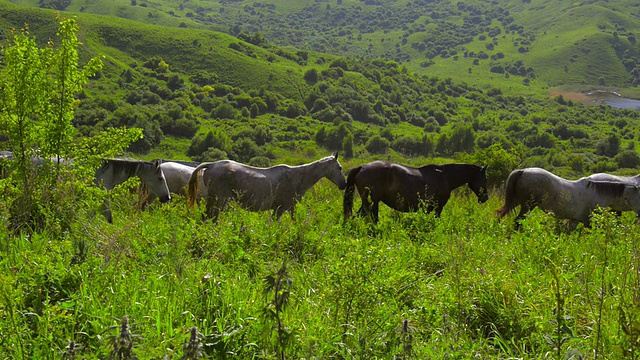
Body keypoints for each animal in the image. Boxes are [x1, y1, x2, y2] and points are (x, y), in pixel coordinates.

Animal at [185, 153, 348, 221]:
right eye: (339, 168)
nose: (344, 185)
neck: (297, 177)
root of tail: (211, 165)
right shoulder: (280, 208)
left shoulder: (288, 208)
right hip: (219, 200)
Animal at [342, 162, 488, 224]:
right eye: (484, 178)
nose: (485, 198)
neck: (445, 176)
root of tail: (361, 167)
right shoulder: (438, 207)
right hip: (371, 202)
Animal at [498, 167, 640, 228]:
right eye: (638, 196)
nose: (639, 213)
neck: (597, 193)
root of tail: (522, 171)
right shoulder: (588, 221)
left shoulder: (575, 220)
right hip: (527, 206)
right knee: (517, 221)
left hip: (516, 202)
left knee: (500, 214)